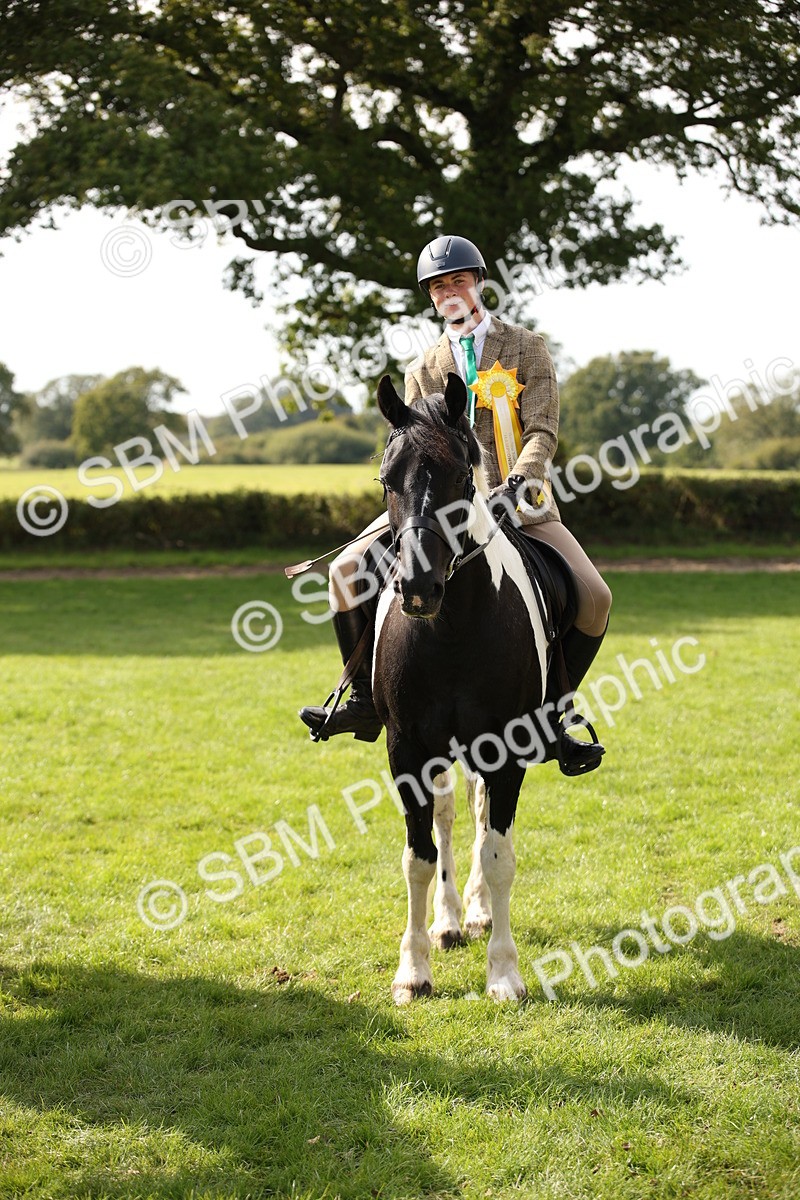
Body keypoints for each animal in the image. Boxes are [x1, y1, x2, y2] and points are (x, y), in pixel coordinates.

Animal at [372, 372, 552, 1004]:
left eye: (458, 475)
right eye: (387, 480)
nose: (418, 588)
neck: (449, 628)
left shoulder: (507, 747)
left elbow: (498, 854)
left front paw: (504, 973)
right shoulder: (407, 749)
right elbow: (418, 857)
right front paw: (413, 970)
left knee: (476, 814)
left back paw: (473, 913)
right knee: (449, 816)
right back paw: (450, 920)